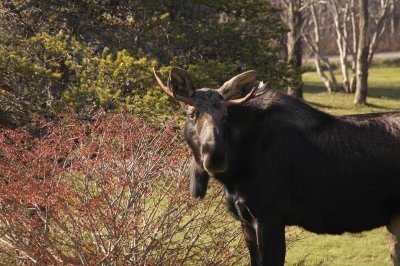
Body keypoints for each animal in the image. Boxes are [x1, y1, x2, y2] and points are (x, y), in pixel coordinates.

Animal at [153, 68, 400, 266]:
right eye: (192, 114)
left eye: (225, 116)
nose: (215, 156)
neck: (235, 176)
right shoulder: (246, 220)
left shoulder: (270, 217)